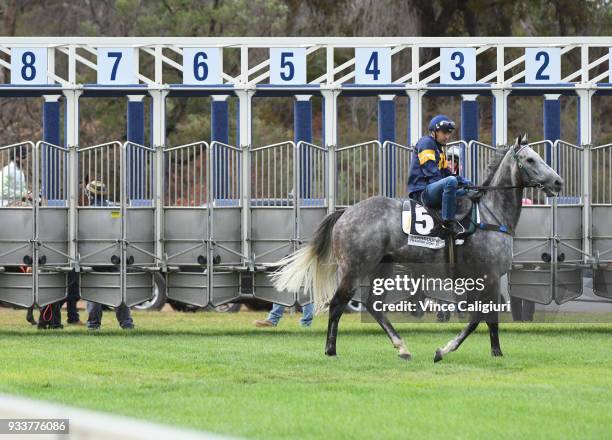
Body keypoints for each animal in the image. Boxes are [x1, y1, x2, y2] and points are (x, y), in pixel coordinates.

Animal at [272, 136, 564, 362]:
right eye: (530, 160)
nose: (558, 182)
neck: (491, 215)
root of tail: (345, 212)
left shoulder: (482, 280)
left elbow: (484, 317)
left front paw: (494, 352)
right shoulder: (487, 277)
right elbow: (479, 317)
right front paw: (446, 351)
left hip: (382, 267)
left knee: (373, 305)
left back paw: (401, 347)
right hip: (355, 269)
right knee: (338, 304)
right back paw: (331, 349)